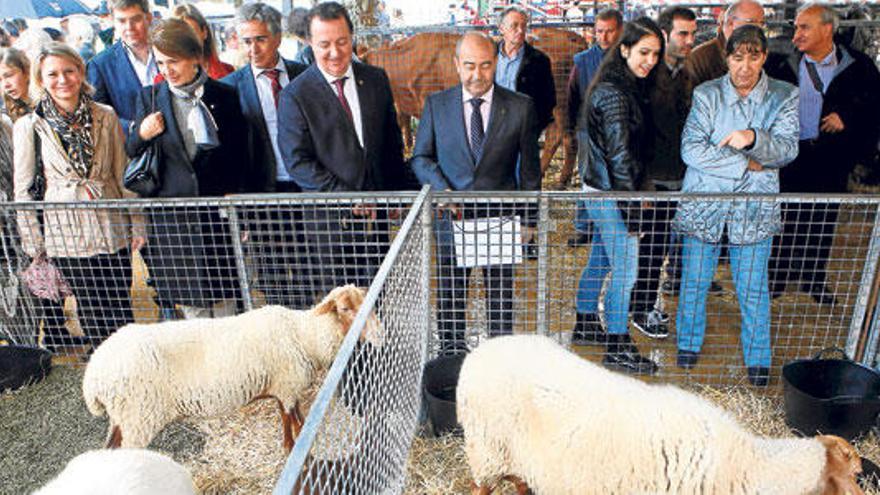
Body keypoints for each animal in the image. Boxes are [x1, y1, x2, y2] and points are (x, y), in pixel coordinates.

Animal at [82, 286, 382, 454]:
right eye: (344, 308)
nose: (379, 336)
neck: (304, 334)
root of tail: (93, 376)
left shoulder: (285, 387)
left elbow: (291, 418)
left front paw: (294, 441)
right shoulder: (287, 386)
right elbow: (292, 420)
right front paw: (293, 448)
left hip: (123, 417)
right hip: (139, 418)